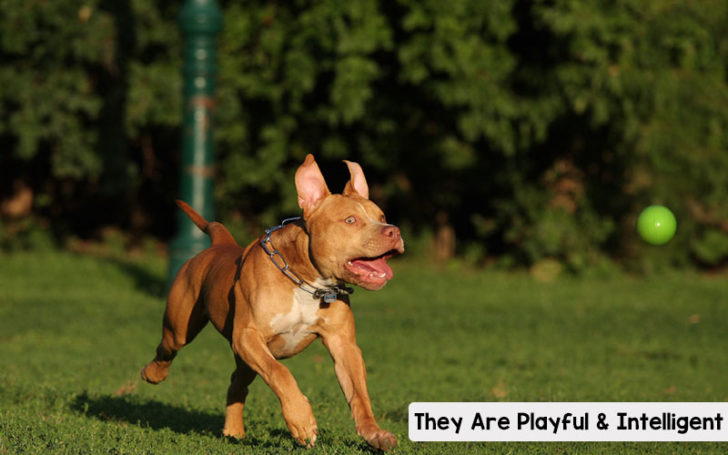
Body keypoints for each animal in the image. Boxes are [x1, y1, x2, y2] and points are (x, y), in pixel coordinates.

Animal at [142, 155, 404, 450]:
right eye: (350, 220)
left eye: (382, 217)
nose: (393, 231)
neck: (307, 283)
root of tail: (219, 244)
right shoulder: (248, 336)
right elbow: (280, 373)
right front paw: (302, 421)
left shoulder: (343, 345)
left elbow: (359, 394)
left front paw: (374, 433)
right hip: (181, 328)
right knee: (167, 348)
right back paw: (153, 373)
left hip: (245, 359)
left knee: (237, 383)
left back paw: (233, 430)